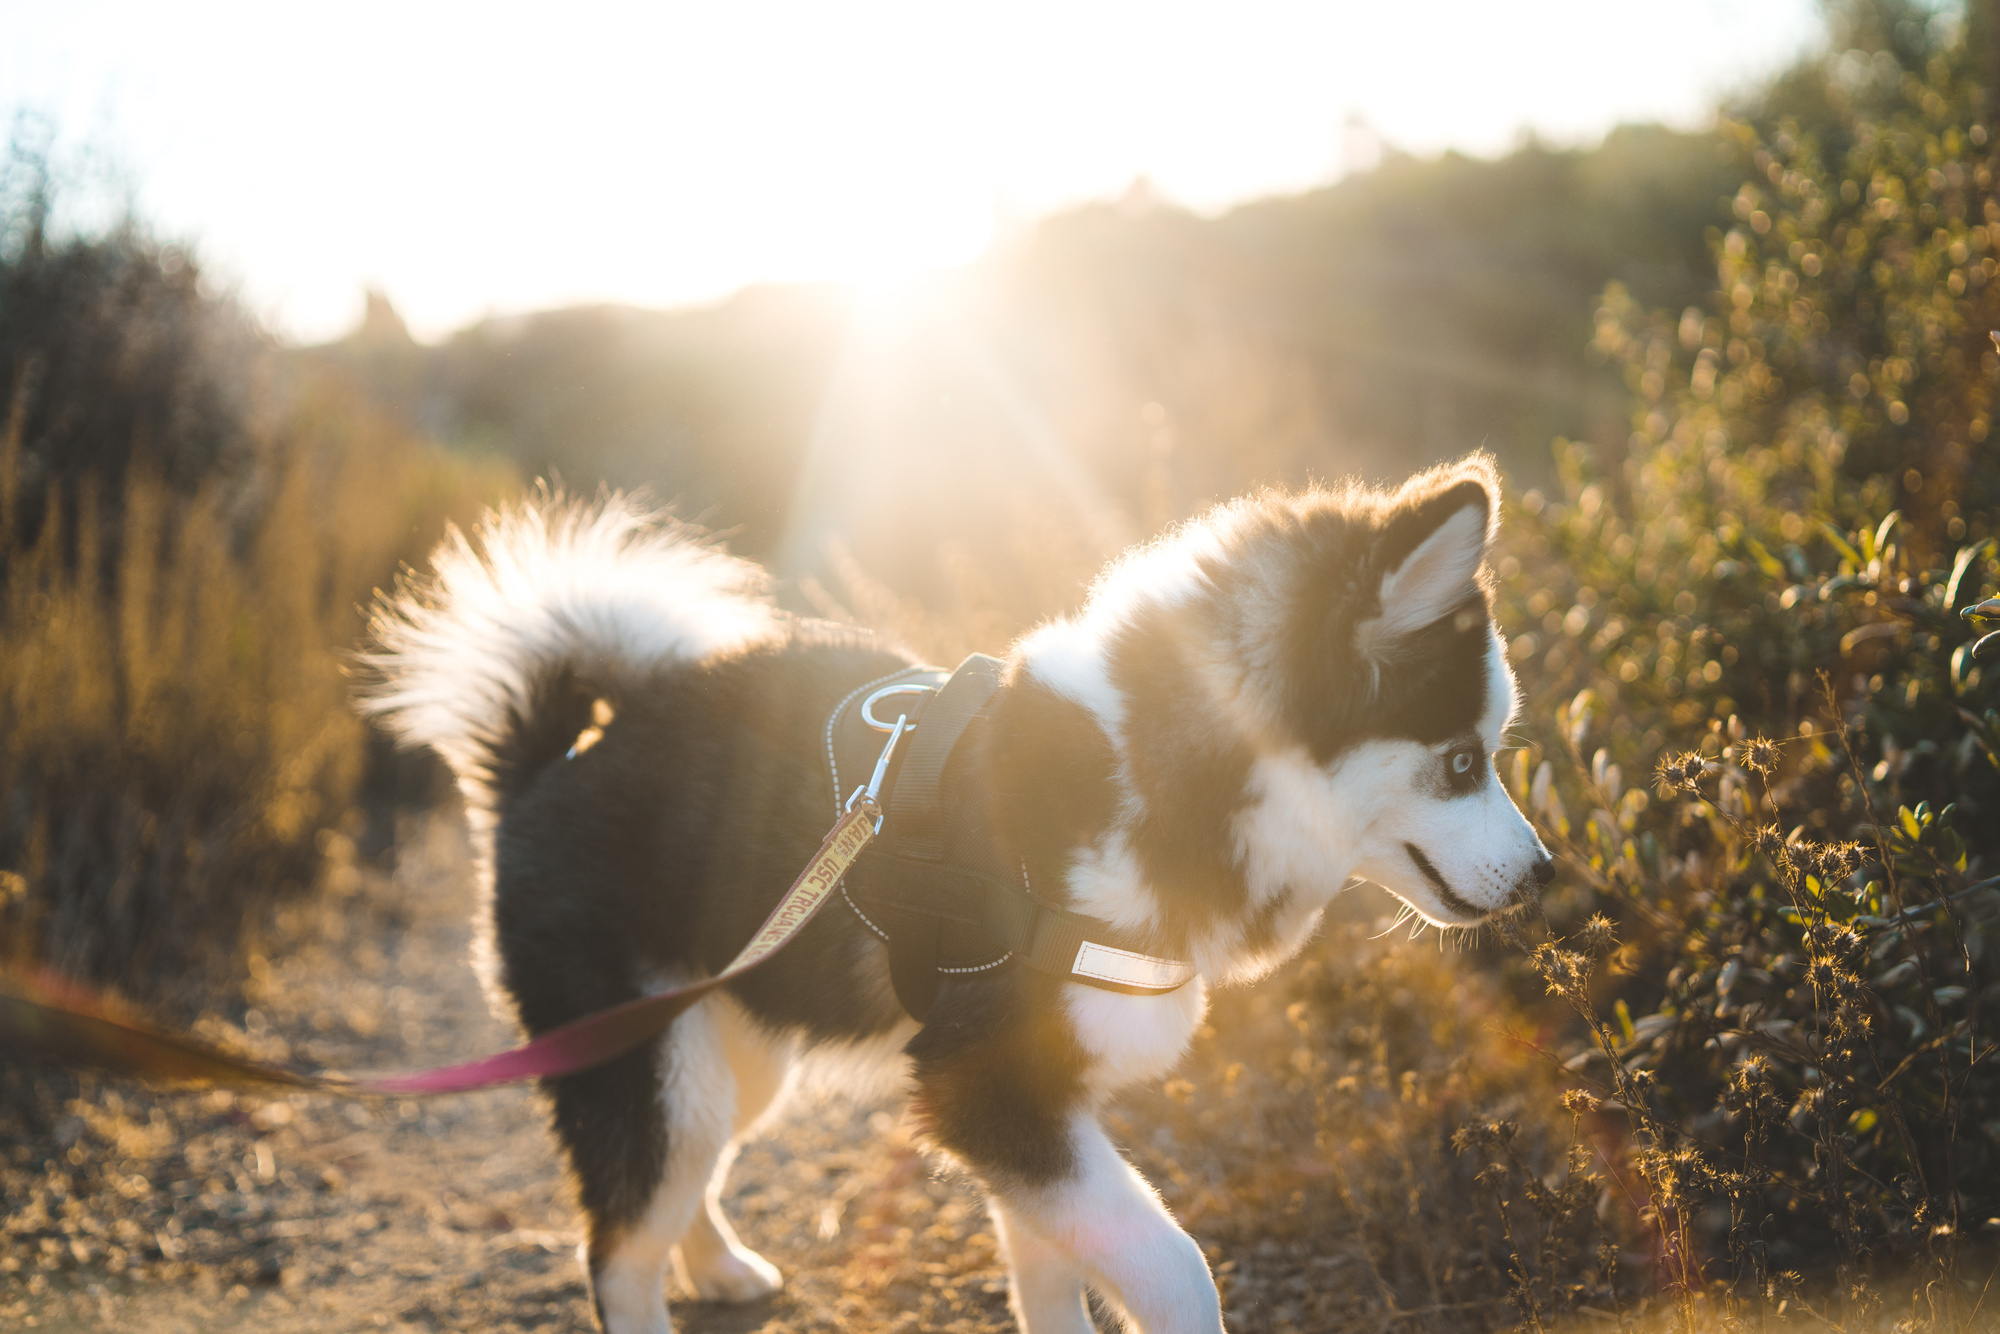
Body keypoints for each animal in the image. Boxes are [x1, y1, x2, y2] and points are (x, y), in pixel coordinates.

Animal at [360, 454, 1552, 1328]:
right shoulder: (988, 1086)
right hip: (652, 1059)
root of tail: (547, 762)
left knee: (675, 1185)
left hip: (729, 1045)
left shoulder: (1031, 1105)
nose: (1546, 875)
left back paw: (722, 1264)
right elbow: (1173, 1266)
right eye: (1461, 761)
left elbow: (1054, 1277)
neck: (1139, 780)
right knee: (616, 1248)